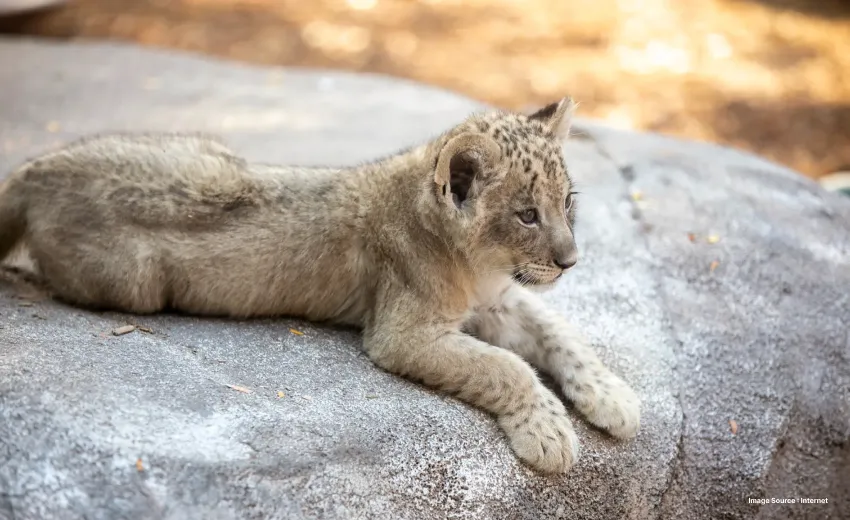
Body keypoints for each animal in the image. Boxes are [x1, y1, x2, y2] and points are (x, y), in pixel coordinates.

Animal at [0, 96, 640, 473]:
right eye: (527, 215)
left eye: (568, 202)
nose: (571, 262)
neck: (477, 265)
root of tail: (38, 167)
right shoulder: (403, 335)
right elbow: (507, 368)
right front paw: (549, 436)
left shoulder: (500, 302)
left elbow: (563, 334)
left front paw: (615, 400)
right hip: (134, 282)